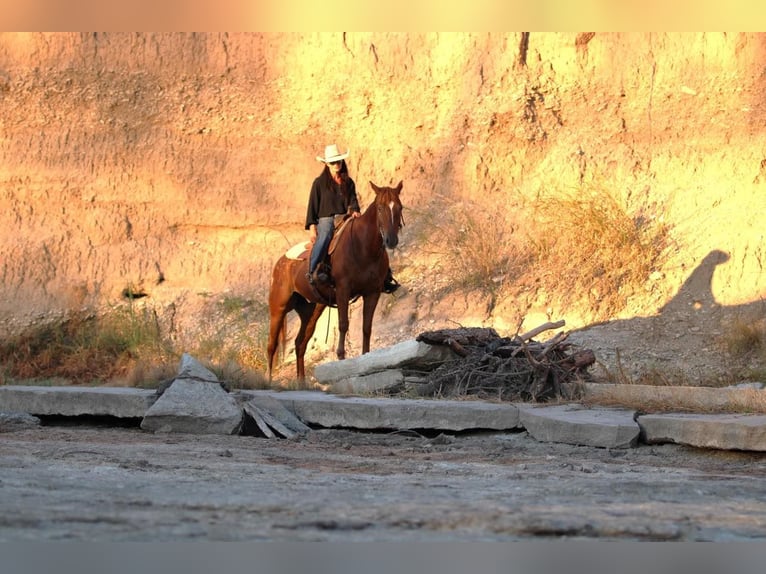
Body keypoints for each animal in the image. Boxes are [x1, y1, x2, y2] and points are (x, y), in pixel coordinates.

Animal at [268, 180, 404, 382]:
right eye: (380, 208)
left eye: (400, 207)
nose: (391, 240)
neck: (363, 247)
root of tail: (281, 262)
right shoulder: (342, 290)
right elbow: (343, 324)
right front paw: (341, 357)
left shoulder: (372, 292)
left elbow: (366, 327)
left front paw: (366, 356)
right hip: (278, 307)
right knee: (271, 346)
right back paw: (267, 379)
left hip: (311, 309)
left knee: (300, 343)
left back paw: (301, 381)